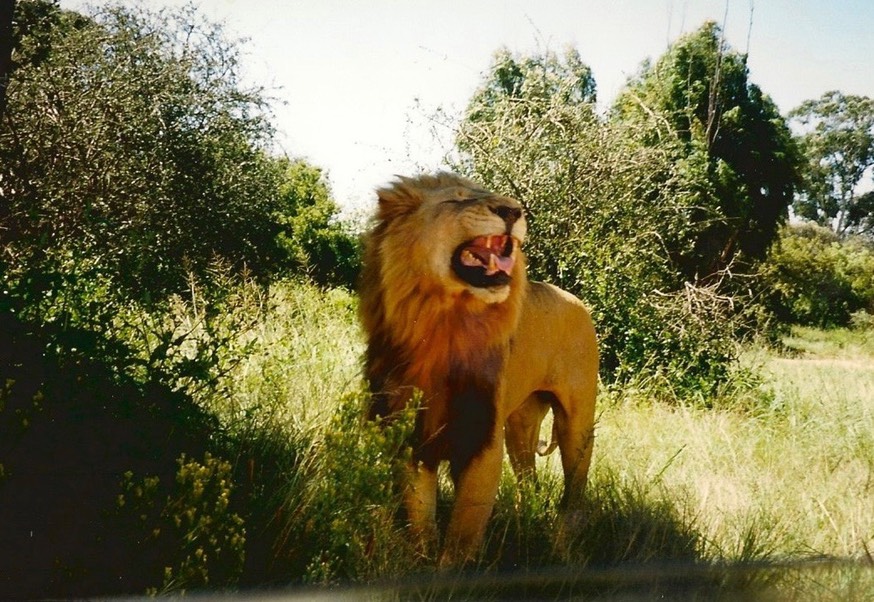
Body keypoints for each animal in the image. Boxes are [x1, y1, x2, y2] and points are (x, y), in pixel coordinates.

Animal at [359, 172, 598, 566]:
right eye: (456, 199)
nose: (514, 210)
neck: (447, 325)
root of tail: (574, 298)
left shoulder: (482, 441)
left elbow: (462, 535)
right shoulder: (413, 439)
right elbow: (420, 521)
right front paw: (418, 563)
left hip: (576, 424)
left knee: (575, 490)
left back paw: (563, 546)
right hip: (521, 423)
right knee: (528, 480)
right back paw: (522, 520)